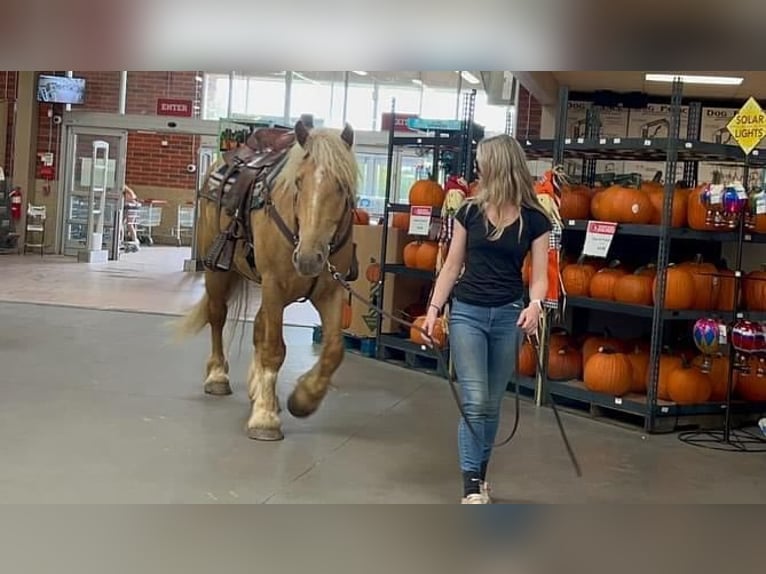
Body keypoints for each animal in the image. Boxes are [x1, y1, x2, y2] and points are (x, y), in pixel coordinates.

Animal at [176, 121, 362, 444]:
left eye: (341, 185)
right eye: (298, 182)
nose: (309, 258)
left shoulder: (330, 292)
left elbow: (333, 351)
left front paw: (303, 399)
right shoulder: (274, 285)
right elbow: (274, 349)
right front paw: (265, 419)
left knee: (259, 329)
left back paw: (260, 390)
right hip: (218, 272)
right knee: (218, 316)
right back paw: (217, 376)